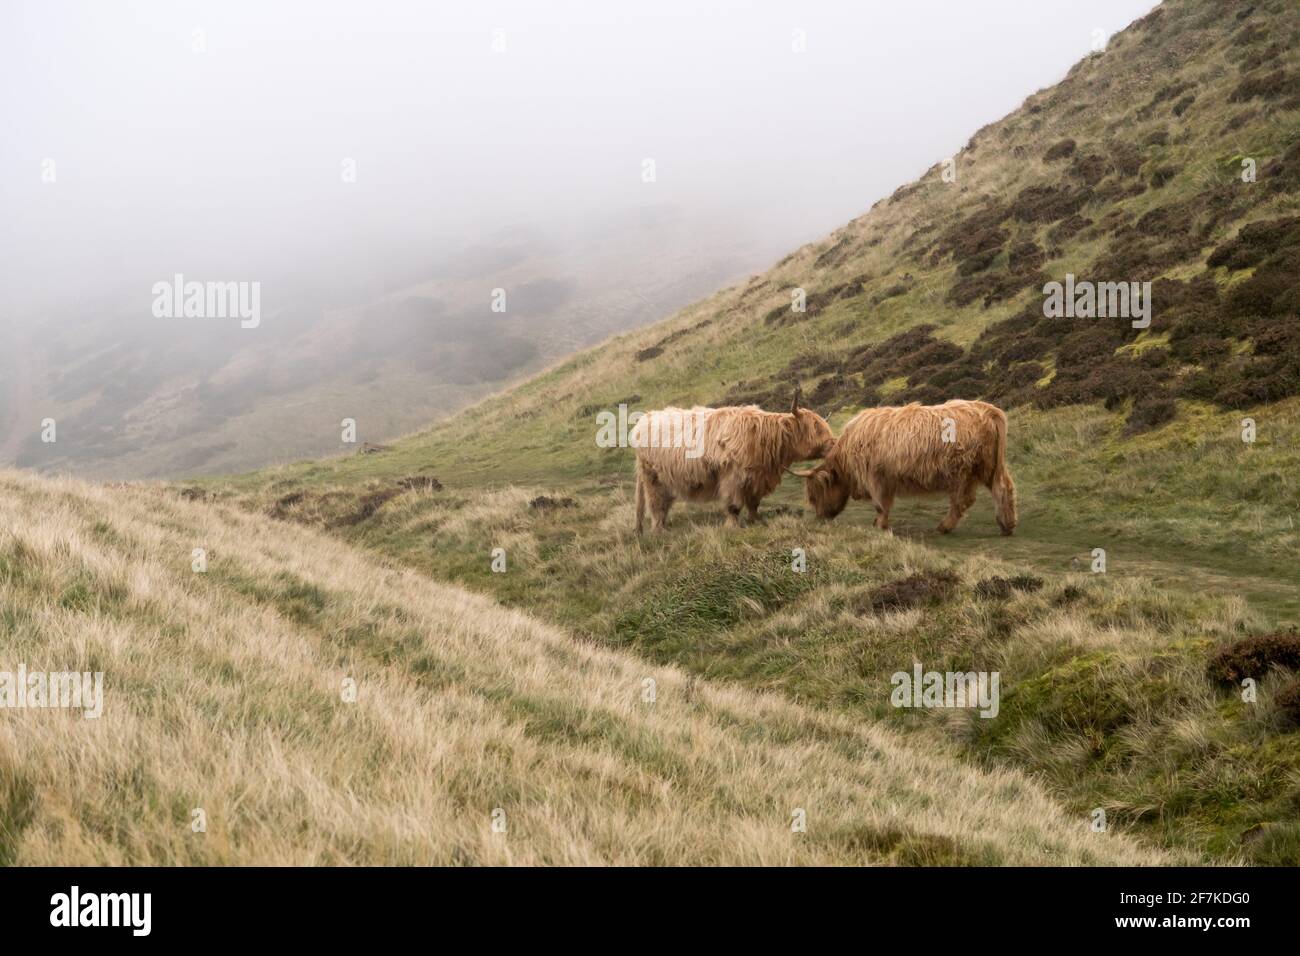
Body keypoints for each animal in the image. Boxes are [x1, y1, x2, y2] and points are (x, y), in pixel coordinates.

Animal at [633, 389, 834, 534]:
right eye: (816, 427)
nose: (833, 443)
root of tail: (644, 420)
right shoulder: (732, 477)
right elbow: (733, 504)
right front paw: (731, 526)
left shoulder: (756, 478)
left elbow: (754, 502)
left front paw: (755, 520)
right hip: (653, 478)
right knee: (656, 504)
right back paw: (659, 530)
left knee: (664, 503)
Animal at [788, 399, 1017, 535]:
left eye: (815, 496)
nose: (820, 518)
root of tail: (987, 409)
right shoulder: (885, 479)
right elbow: (884, 503)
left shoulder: (875, 477)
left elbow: (880, 504)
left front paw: (880, 525)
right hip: (989, 466)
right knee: (1003, 487)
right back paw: (1007, 524)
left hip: (966, 470)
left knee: (964, 500)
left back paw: (945, 526)